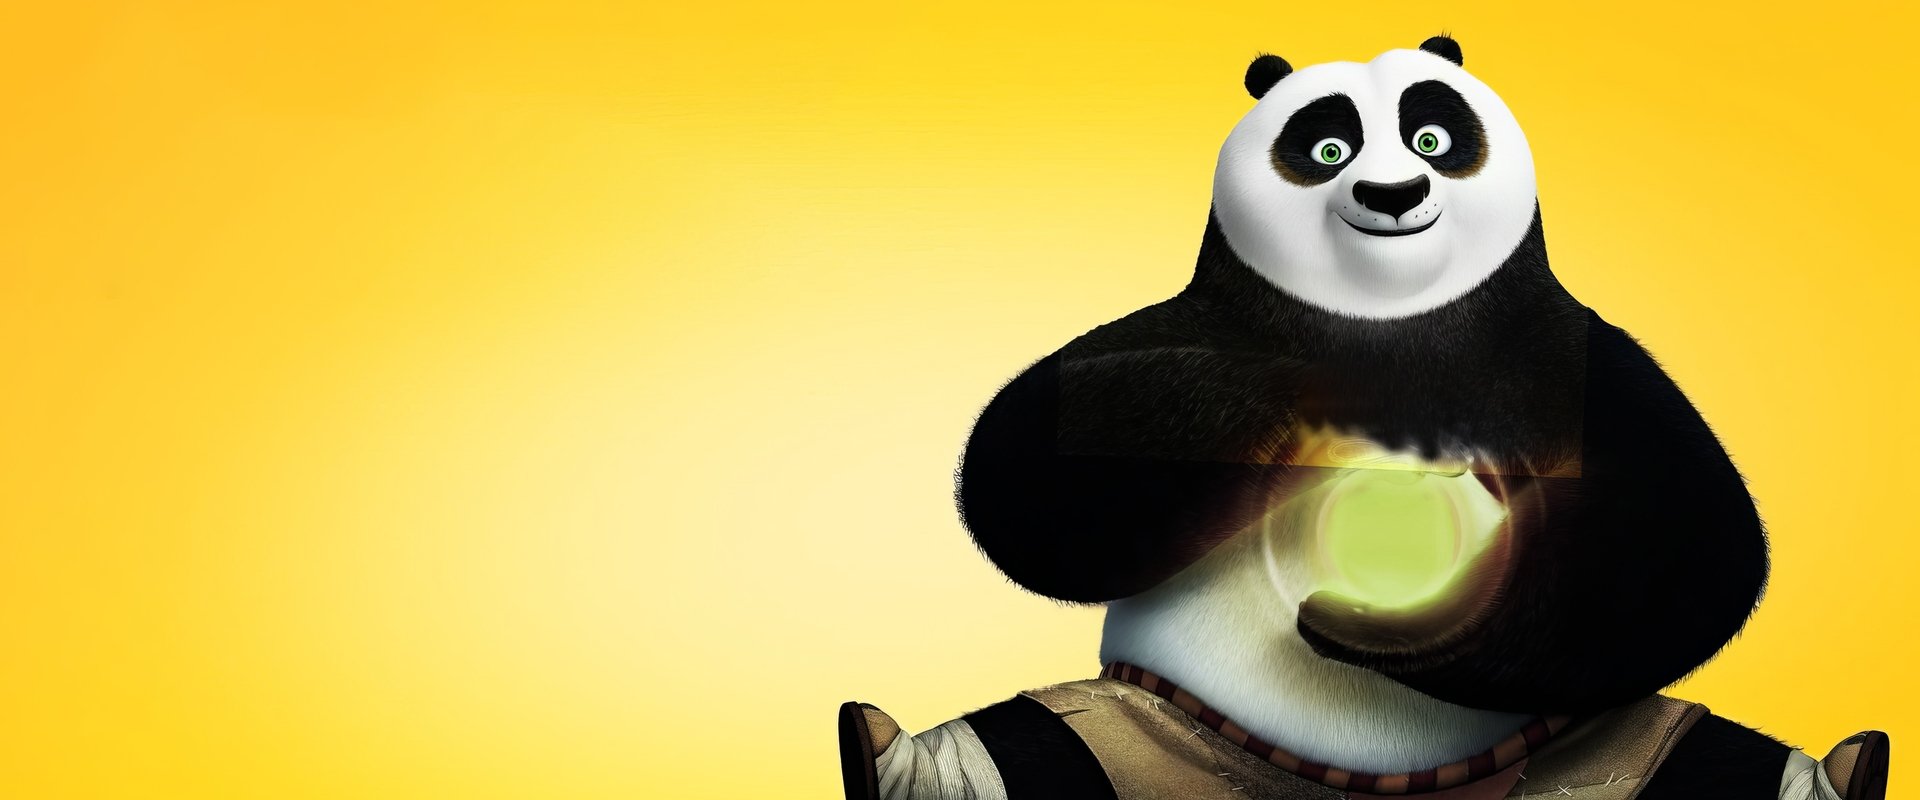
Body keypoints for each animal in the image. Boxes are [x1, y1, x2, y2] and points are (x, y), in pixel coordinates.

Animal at [838, 37, 1889, 800]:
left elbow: (1682, 534)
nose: (1393, 195)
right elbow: (1038, 461)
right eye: (1325, 148)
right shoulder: (1197, 326)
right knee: (1046, 742)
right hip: (1153, 724)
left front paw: (1376, 621)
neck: (1391, 314)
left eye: (1432, 139)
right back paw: (893, 758)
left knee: (1695, 752)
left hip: (1582, 752)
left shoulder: (1567, 355)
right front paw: (1315, 405)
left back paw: (1838, 771)